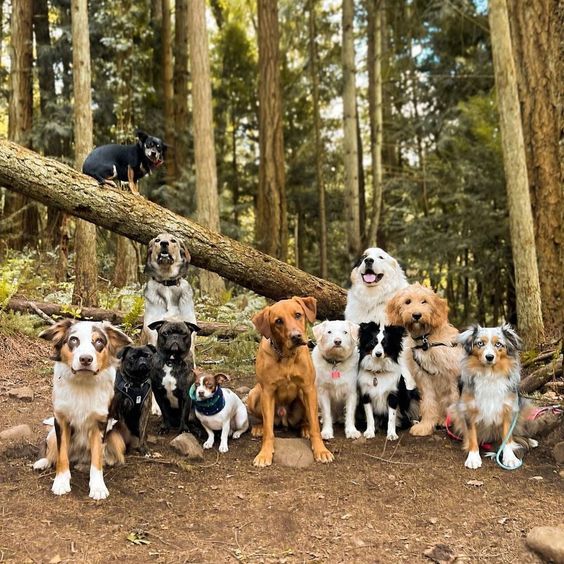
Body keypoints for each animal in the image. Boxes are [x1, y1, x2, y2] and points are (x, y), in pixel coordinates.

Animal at [248, 296, 334, 468]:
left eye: (298, 315)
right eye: (278, 321)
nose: (296, 336)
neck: (287, 357)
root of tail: (283, 418)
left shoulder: (308, 388)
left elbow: (315, 426)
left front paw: (321, 450)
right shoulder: (267, 392)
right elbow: (269, 431)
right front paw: (264, 453)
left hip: (304, 395)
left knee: (306, 420)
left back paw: (305, 428)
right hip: (253, 394)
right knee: (264, 420)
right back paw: (258, 427)